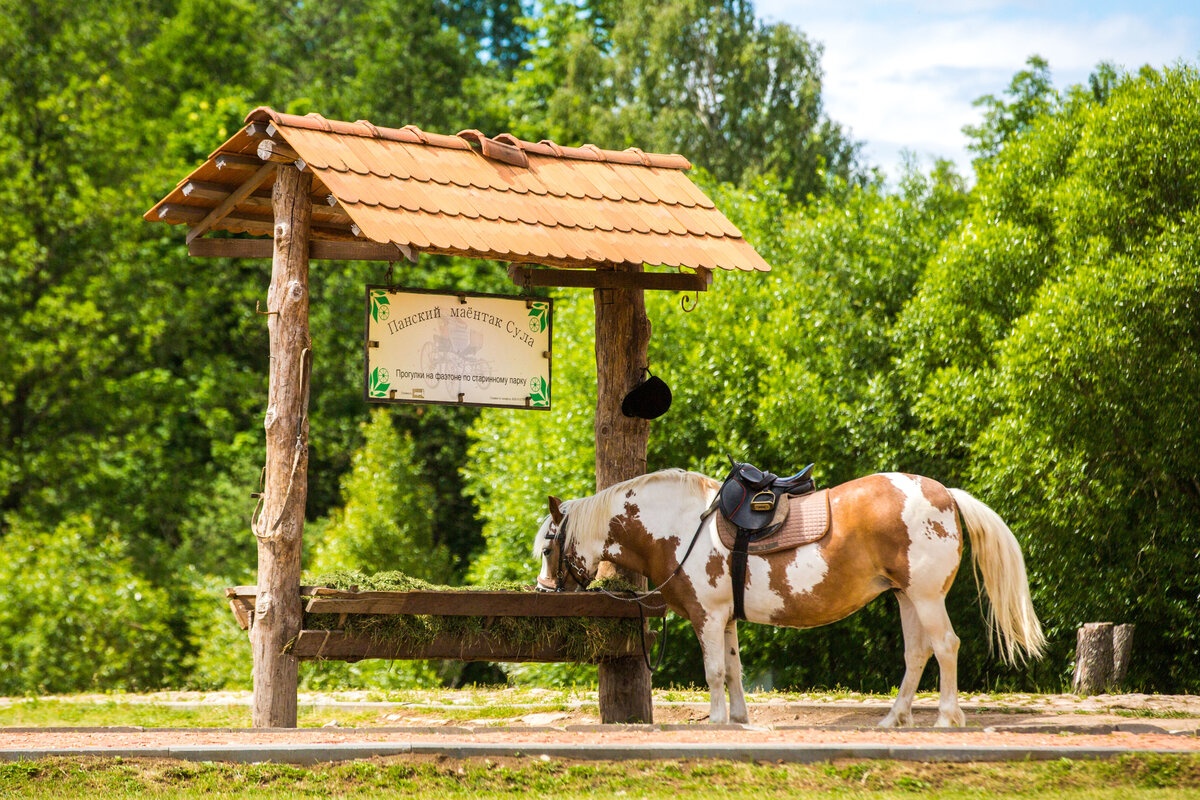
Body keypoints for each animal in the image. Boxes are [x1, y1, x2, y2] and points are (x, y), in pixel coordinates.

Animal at [540, 470, 1046, 724]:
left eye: (547, 546)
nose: (545, 593)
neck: (680, 525)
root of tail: (945, 494)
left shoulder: (708, 616)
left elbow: (714, 672)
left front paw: (718, 721)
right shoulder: (726, 619)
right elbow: (735, 669)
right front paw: (739, 719)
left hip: (924, 597)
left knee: (945, 647)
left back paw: (945, 718)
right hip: (906, 598)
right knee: (917, 654)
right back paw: (893, 720)